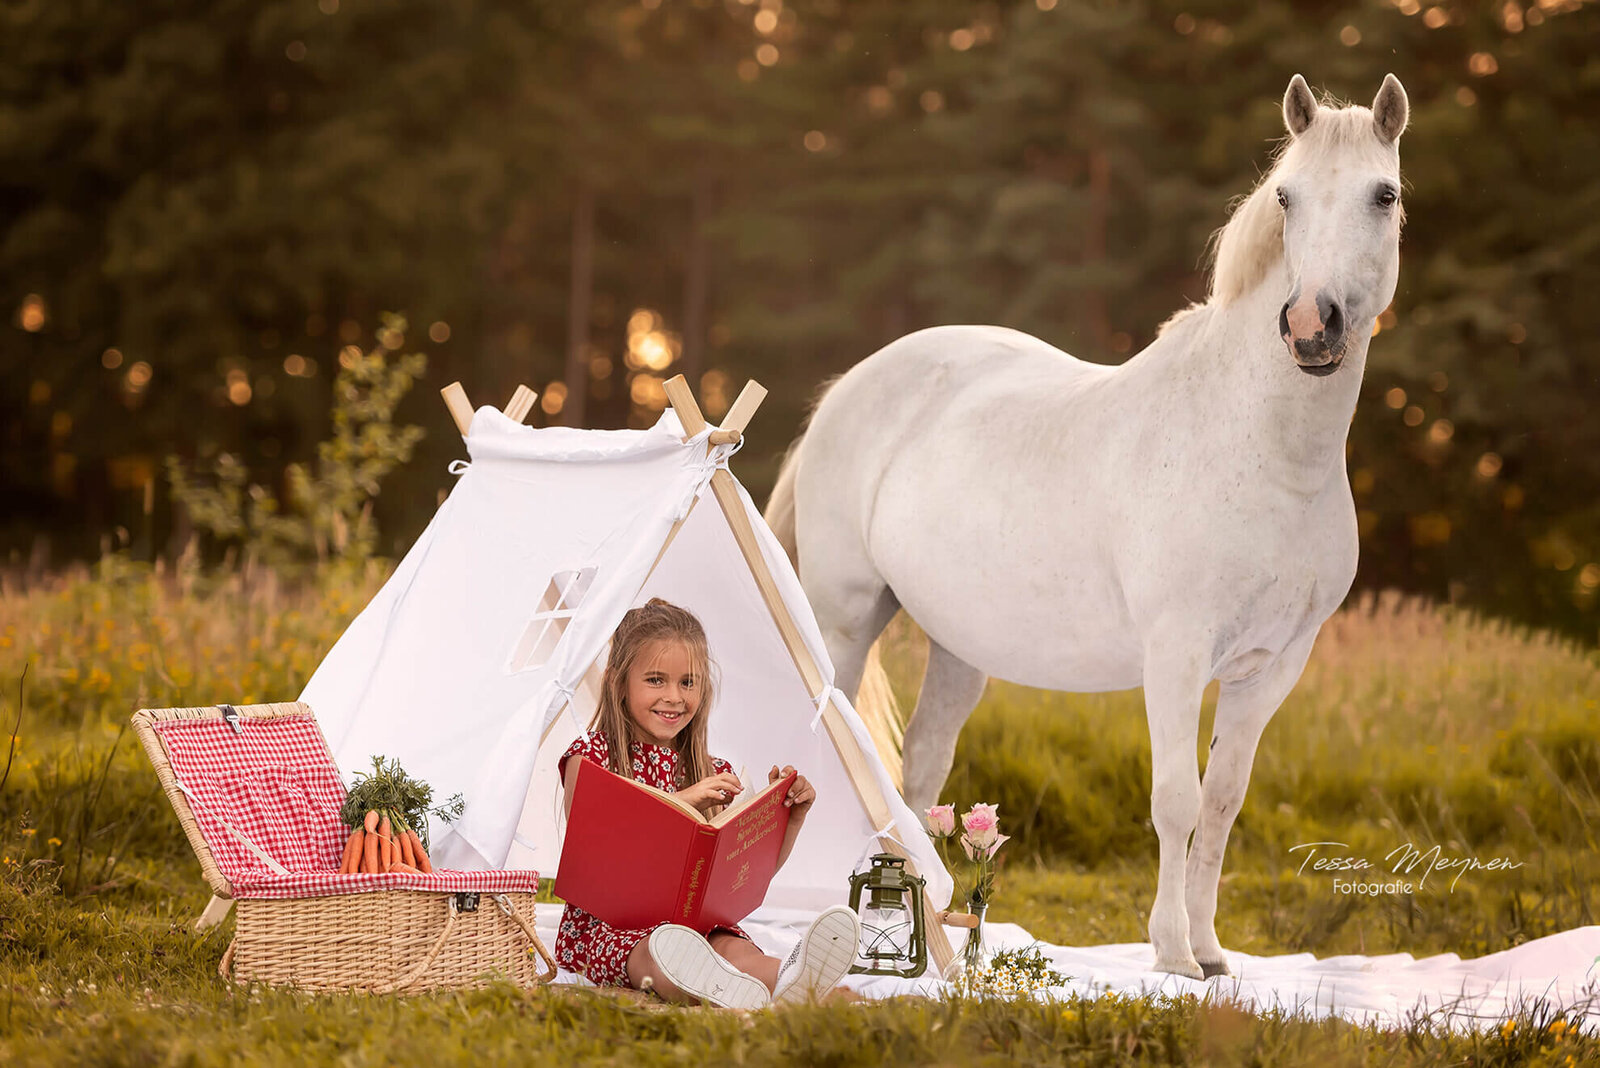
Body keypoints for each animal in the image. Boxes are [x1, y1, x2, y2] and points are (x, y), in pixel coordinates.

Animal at [768, 73, 1408, 978]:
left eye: (1382, 194)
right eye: (1286, 197)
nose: (1311, 327)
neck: (1262, 451)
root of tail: (846, 389)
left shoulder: (1272, 668)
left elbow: (1222, 803)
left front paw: (1212, 954)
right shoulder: (1175, 656)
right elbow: (1176, 801)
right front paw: (1171, 955)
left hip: (958, 647)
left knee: (920, 767)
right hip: (845, 619)